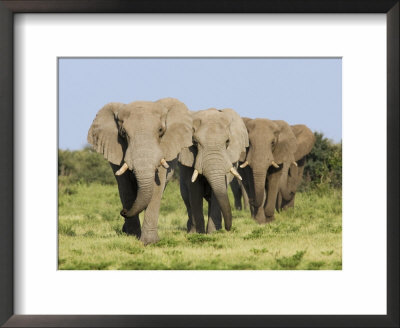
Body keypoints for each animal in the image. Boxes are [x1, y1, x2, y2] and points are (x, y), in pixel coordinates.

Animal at [87, 96, 192, 243]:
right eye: (123, 133)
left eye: (161, 130)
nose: (123, 211)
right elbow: (125, 186)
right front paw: (132, 236)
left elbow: (156, 188)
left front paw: (149, 242)